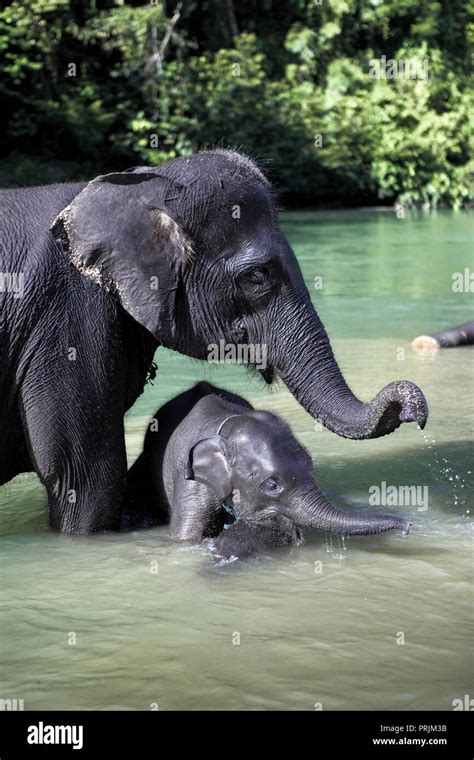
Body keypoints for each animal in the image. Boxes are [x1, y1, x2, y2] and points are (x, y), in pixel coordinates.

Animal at [127, 382, 412, 556]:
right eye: (272, 485)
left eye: (311, 467)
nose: (408, 526)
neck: (227, 427)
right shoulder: (192, 483)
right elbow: (185, 538)